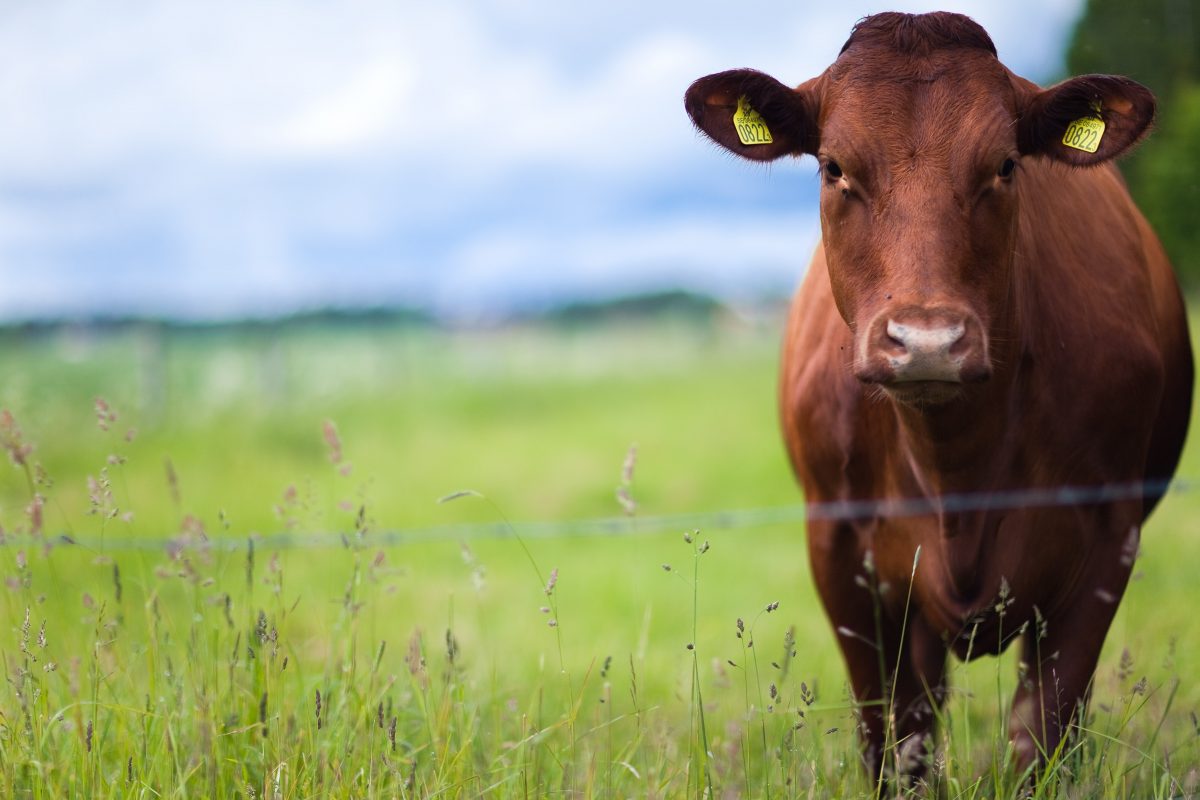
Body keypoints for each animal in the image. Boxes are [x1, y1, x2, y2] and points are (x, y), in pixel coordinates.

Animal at [686, 10, 1190, 782]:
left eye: (1005, 165)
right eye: (834, 167)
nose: (926, 341)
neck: (956, 469)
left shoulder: (1109, 537)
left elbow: (1042, 736)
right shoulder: (839, 549)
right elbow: (892, 741)